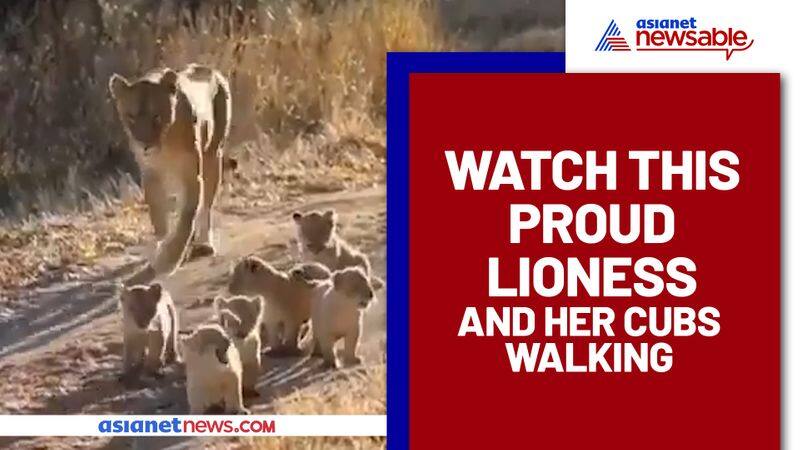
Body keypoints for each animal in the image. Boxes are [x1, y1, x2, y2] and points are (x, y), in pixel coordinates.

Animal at [108, 64, 231, 284]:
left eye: (156, 116)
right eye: (131, 117)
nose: (145, 146)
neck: (164, 147)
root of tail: (210, 69)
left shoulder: (191, 176)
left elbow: (186, 221)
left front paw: (168, 261)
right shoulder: (151, 176)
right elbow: (160, 221)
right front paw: (160, 249)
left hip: (213, 155)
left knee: (205, 206)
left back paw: (203, 244)